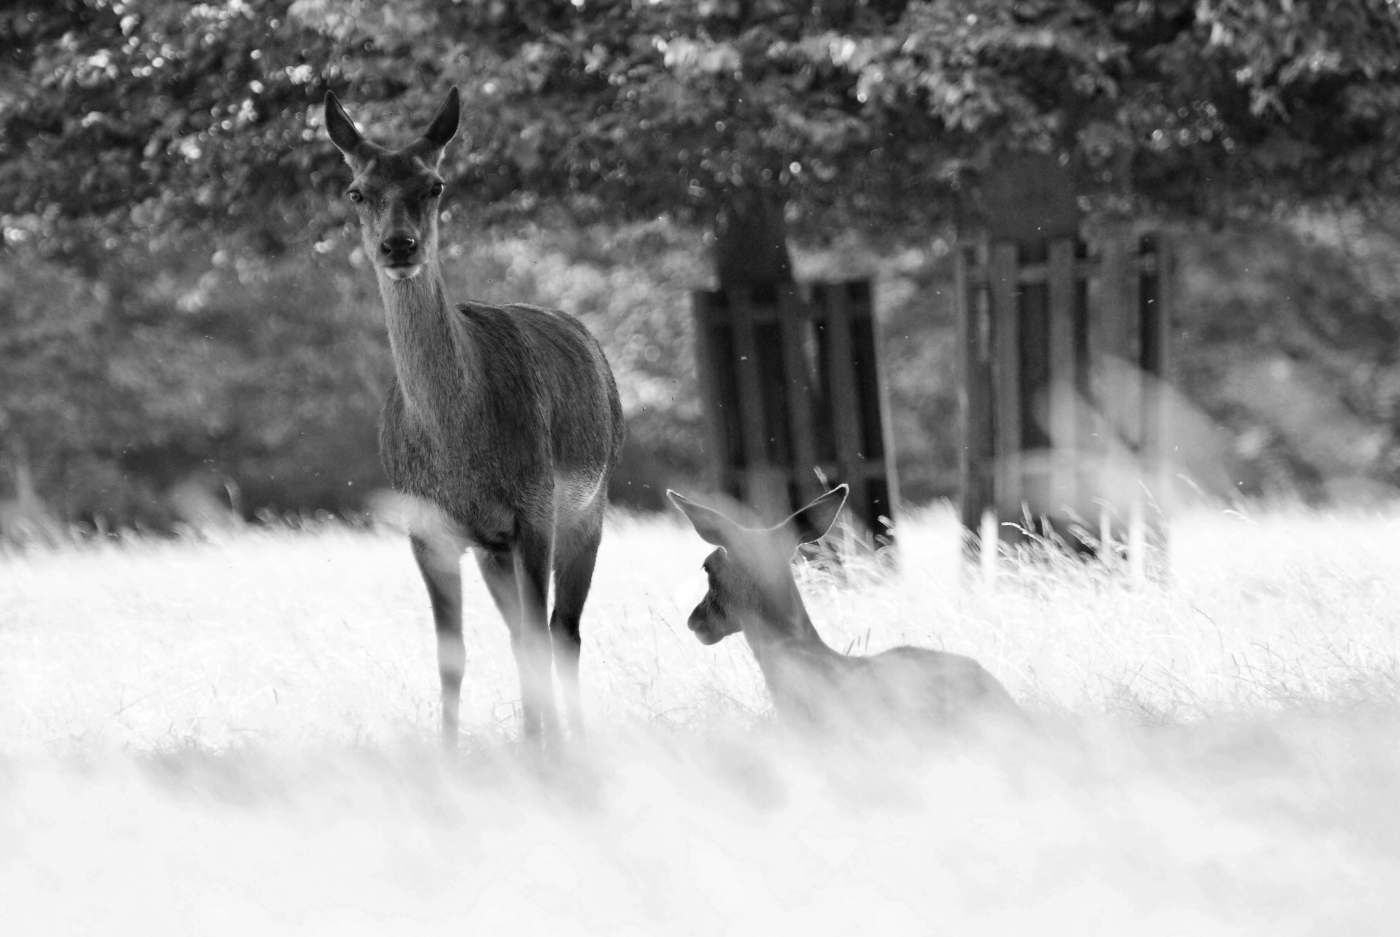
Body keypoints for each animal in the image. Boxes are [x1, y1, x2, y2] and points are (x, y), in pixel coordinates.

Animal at [327, 89, 624, 745]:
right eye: (356, 191)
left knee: (563, 630)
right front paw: (451, 752)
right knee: (525, 635)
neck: (459, 448)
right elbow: (452, 654)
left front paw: (544, 751)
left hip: (589, 508)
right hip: (494, 549)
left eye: (435, 185)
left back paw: (574, 738)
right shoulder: (428, 529)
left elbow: (541, 634)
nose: (399, 246)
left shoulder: (534, 507)